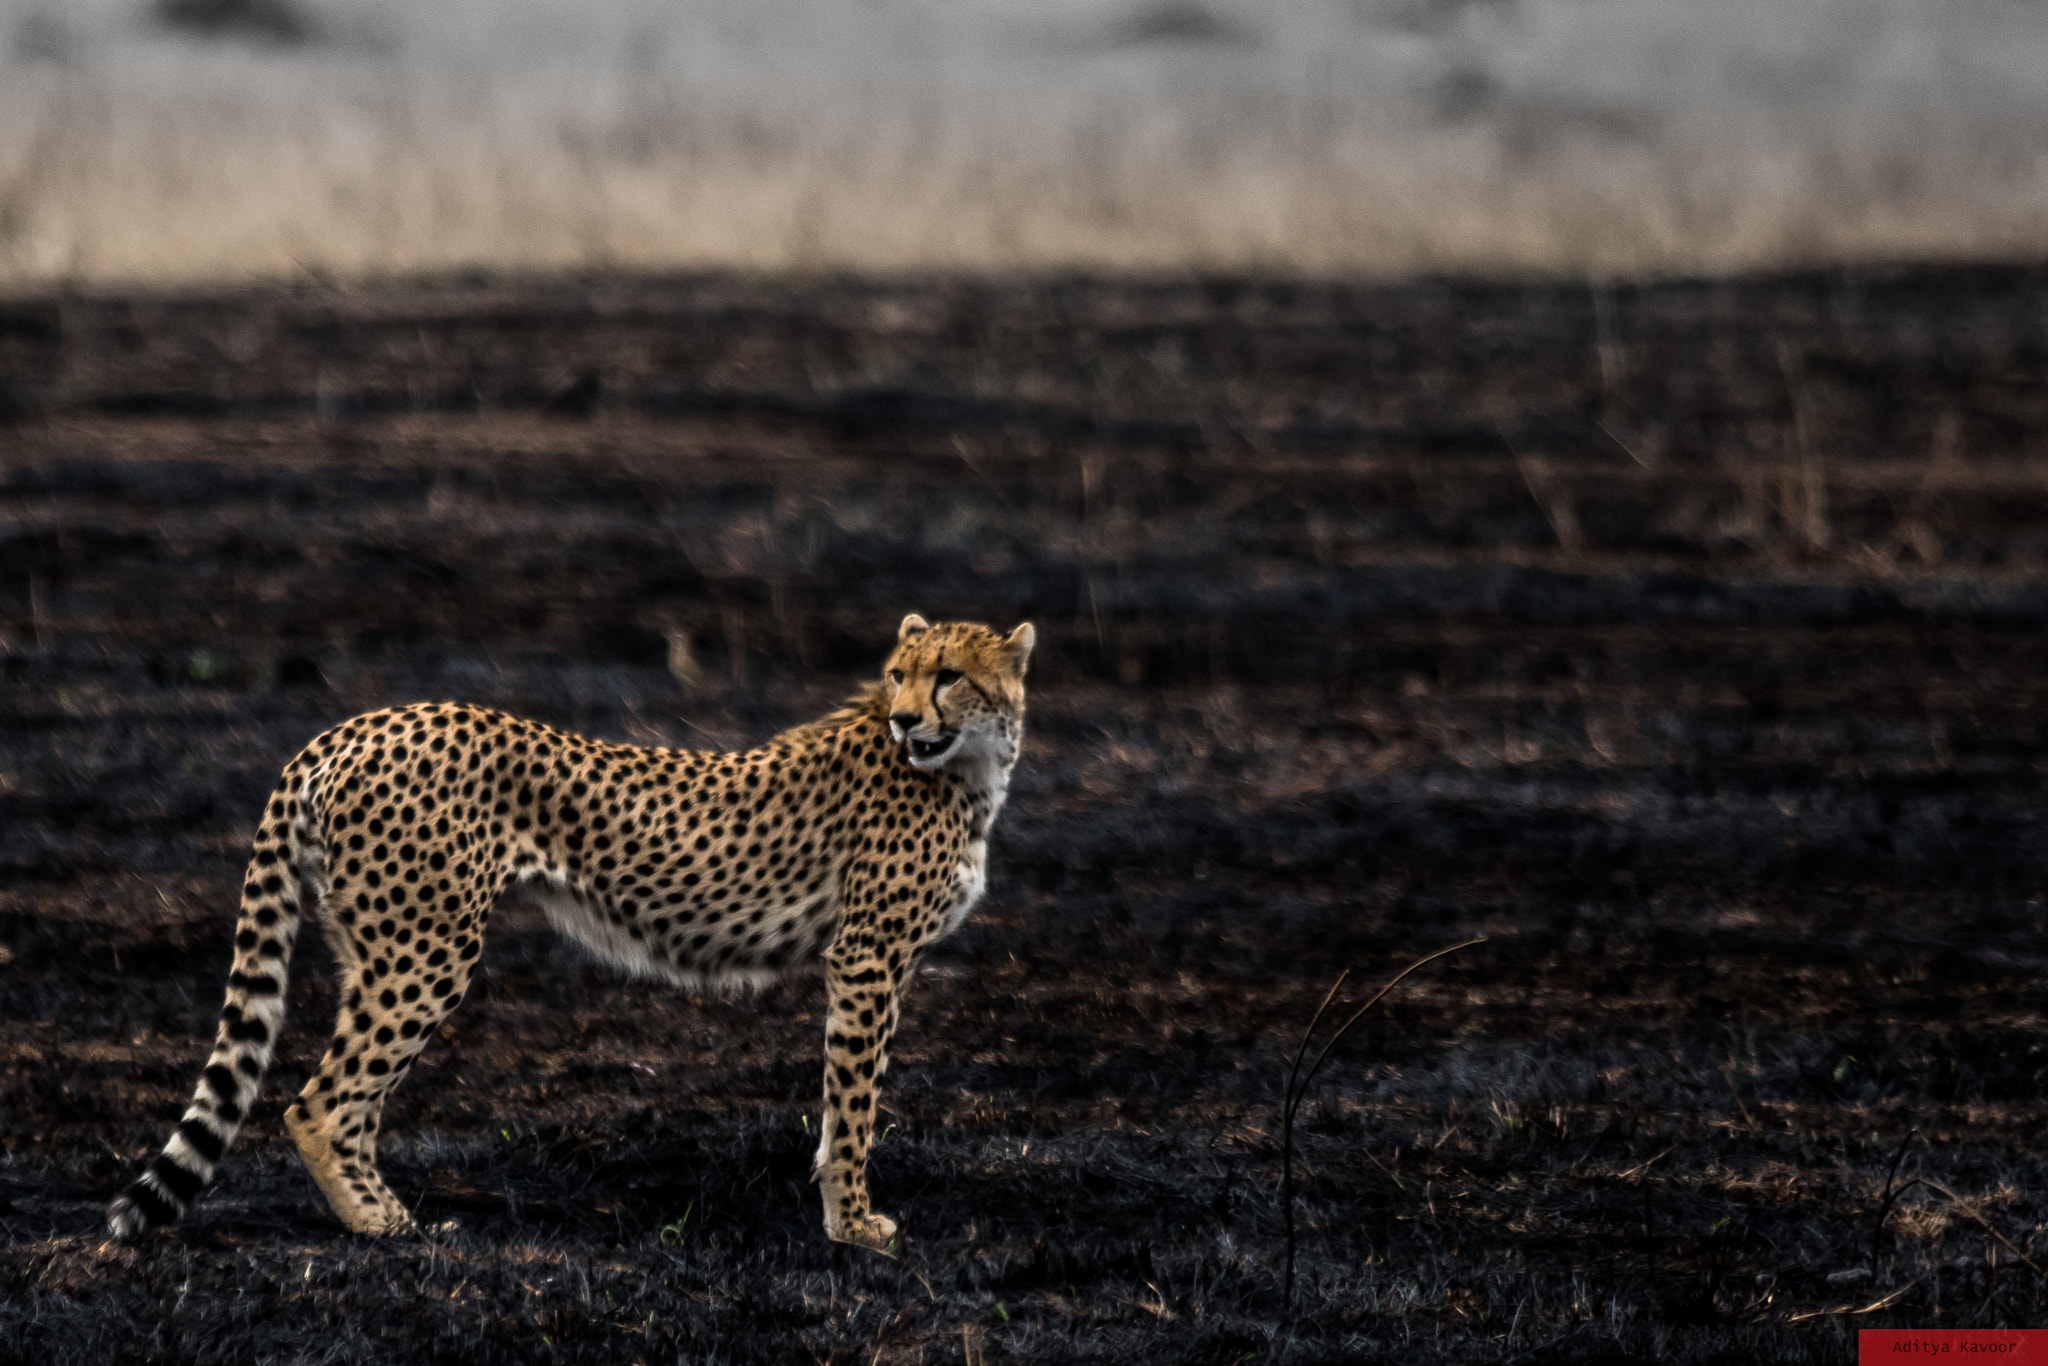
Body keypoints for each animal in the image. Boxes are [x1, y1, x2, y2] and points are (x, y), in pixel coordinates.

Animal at [110, 618, 1032, 1253]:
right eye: (899, 674)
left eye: (948, 676)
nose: (904, 721)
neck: (964, 769)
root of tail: (356, 725)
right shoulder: (868, 956)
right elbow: (854, 1101)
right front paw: (852, 1223)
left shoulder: (870, 958)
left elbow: (850, 1098)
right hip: (426, 949)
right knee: (319, 1103)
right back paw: (383, 1227)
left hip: (372, 946)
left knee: (351, 1096)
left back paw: (384, 1211)